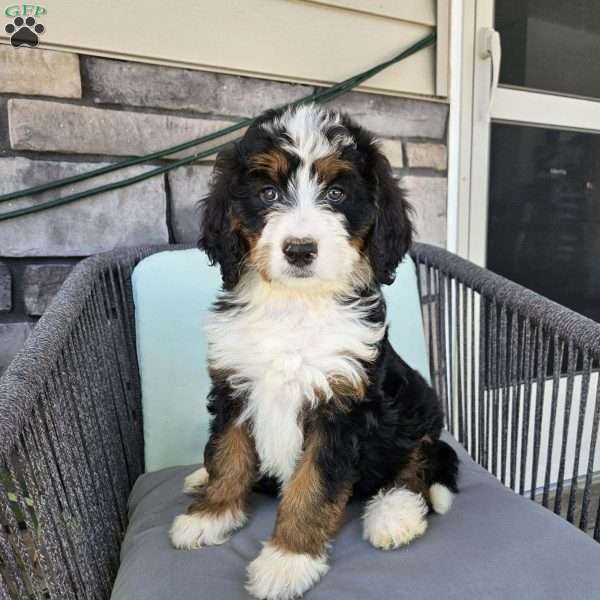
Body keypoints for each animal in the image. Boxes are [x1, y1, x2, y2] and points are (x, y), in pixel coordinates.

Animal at [169, 104, 460, 600]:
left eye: (338, 193)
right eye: (267, 192)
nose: (300, 249)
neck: (295, 305)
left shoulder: (341, 405)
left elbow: (313, 487)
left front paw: (288, 560)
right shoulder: (234, 386)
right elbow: (227, 455)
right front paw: (211, 515)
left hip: (416, 402)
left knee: (418, 464)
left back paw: (394, 514)